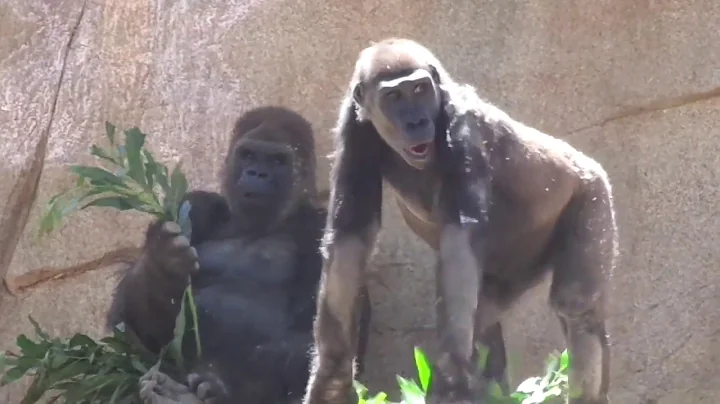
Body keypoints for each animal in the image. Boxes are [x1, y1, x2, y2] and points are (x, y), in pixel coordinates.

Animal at [106, 106, 372, 404]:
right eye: (248, 155)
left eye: (278, 160)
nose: (257, 173)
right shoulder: (193, 206)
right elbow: (139, 333)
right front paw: (160, 264)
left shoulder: (322, 229)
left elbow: (330, 343)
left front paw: (226, 384)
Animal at [303, 38, 616, 404]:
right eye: (393, 98)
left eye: (420, 90)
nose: (415, 122)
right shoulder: (354, 126)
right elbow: (350, 236)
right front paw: (332, 373)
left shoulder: (462, 125)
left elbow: (458, 243)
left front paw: (451, 377)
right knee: (485, 319)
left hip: (592, 191)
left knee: (577, 306)